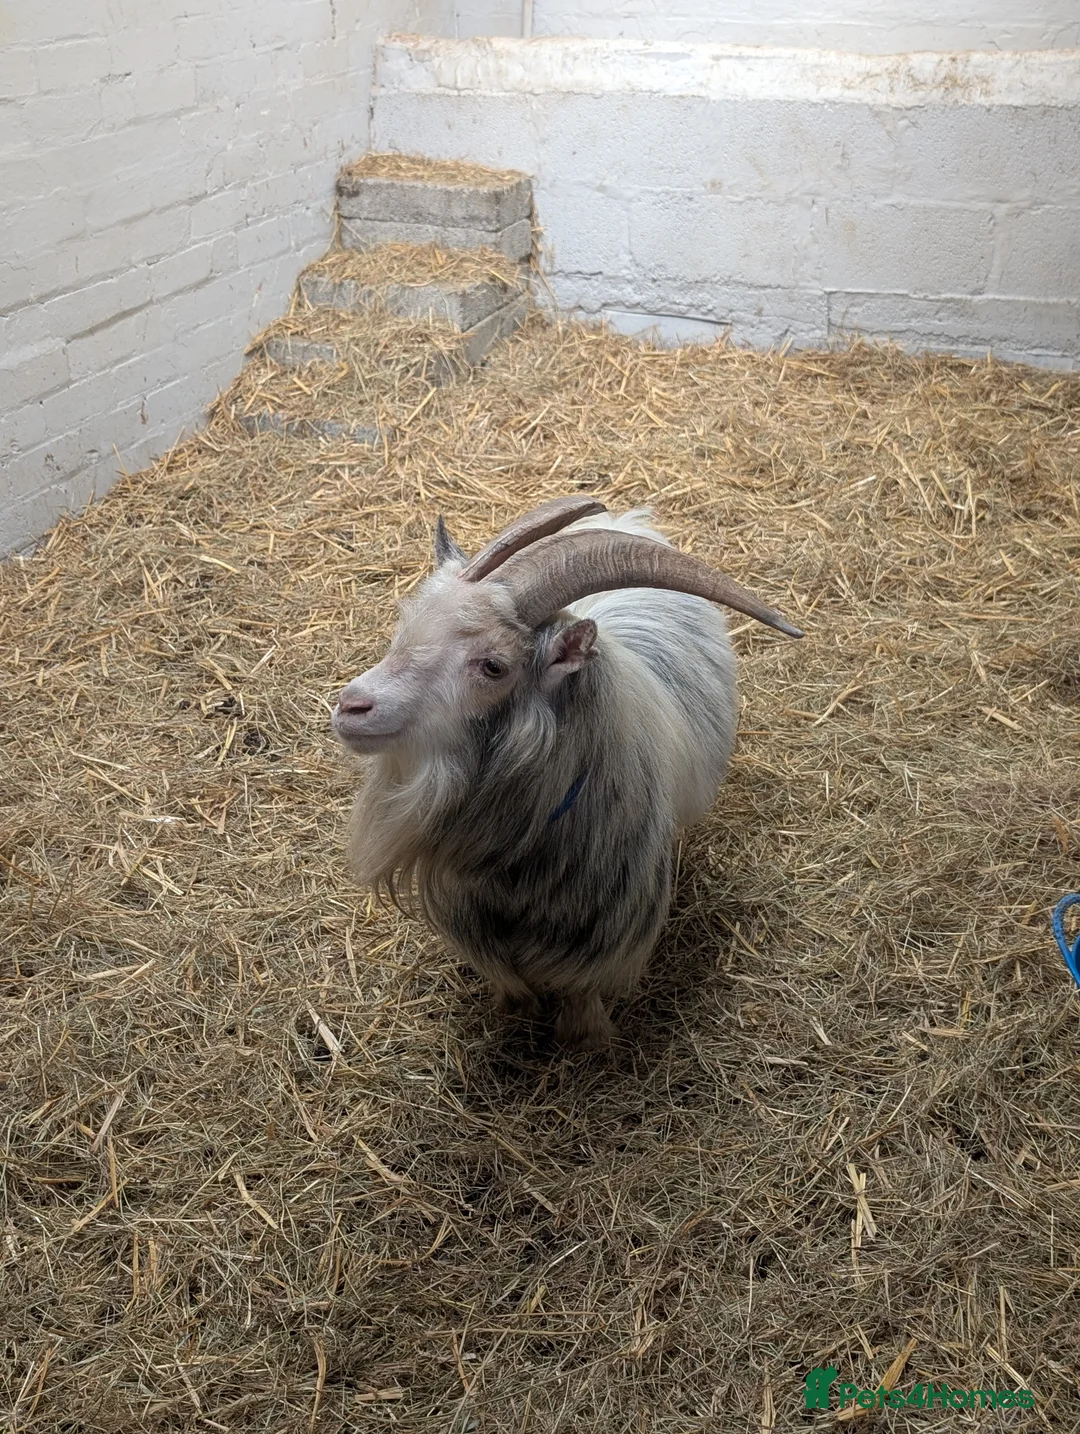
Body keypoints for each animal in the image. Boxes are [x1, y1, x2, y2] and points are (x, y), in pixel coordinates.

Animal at [332, 498, 802, 1050]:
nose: (352, 707)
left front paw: (586, 1040)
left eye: (494, 666)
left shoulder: (604, 932)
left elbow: (581, 996)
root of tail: (625, 520)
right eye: (405, 625)